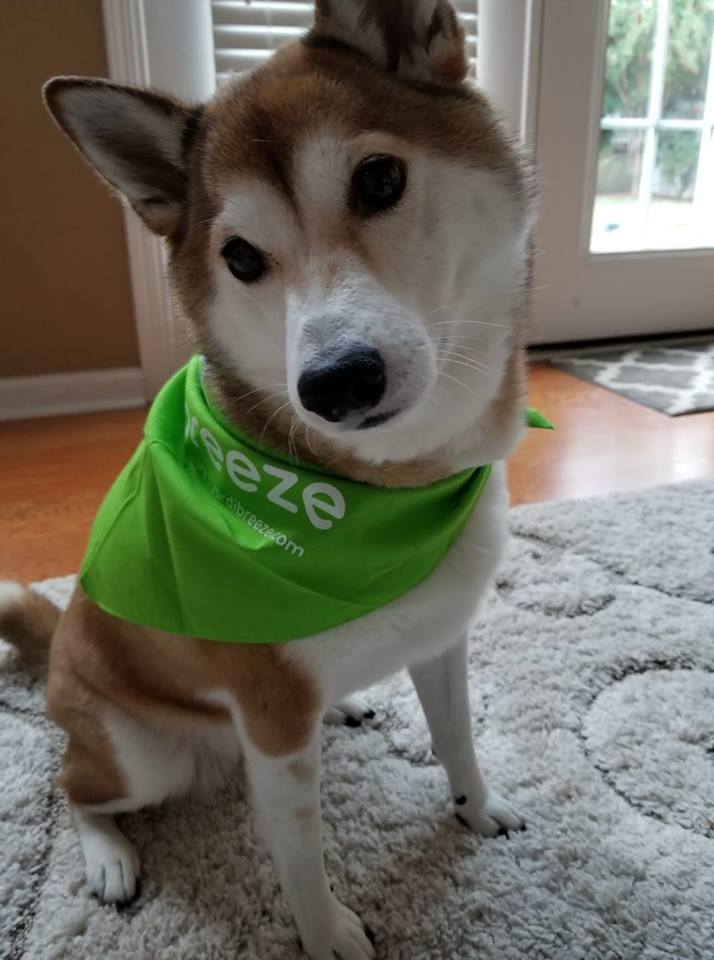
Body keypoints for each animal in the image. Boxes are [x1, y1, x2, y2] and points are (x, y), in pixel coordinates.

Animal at [0, 3, 536, 956]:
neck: (396, 492)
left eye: (380, 180)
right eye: (242, 259)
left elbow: (458, 739)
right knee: (72, 788)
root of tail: (59, 645)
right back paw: (106, 856)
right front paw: (328, 934)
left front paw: (476, 809)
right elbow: (299, 852)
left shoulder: (441, 640)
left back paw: (349, 708)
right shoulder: (274, 724)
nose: (336, 382)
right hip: (144, 755)